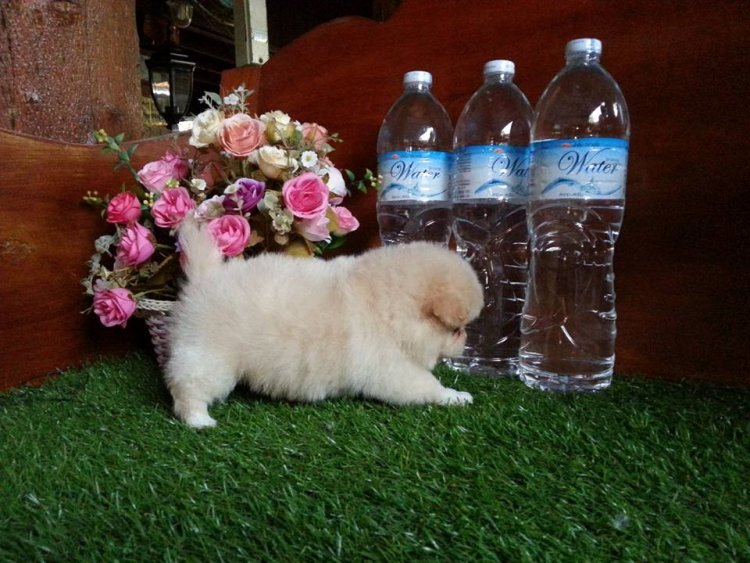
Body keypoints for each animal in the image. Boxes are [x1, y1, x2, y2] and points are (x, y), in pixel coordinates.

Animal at [165, 221, 484, 428]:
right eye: (456, 329)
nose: (466, 339)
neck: (387, 307)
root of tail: (206, 277)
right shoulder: (395, 371)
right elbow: (428, 386)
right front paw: (456, 396)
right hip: (210, 359)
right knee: (188, 390)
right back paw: (199, 420)